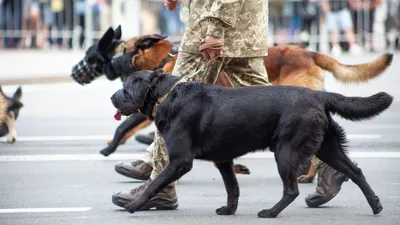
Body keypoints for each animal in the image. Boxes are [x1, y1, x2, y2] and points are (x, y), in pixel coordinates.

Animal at [71, 25, 394, 176]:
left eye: (123, 50)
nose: (74, 73)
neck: (162, 59)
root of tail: (310, 51)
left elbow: (123, 127)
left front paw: (110, 147)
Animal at [111, 69, 392, 218]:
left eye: (125, 88)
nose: (111, 97)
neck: (167, 96)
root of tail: (319, 95)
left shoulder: (180, 161)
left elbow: (155, 182)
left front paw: (135, 205)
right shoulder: (223, 159)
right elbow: (232, 187)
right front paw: (229, 210)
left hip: (286, 151)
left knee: (292, 190)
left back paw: (271, 212)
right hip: (328, 147)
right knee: (355, 171)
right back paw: (375, 205)